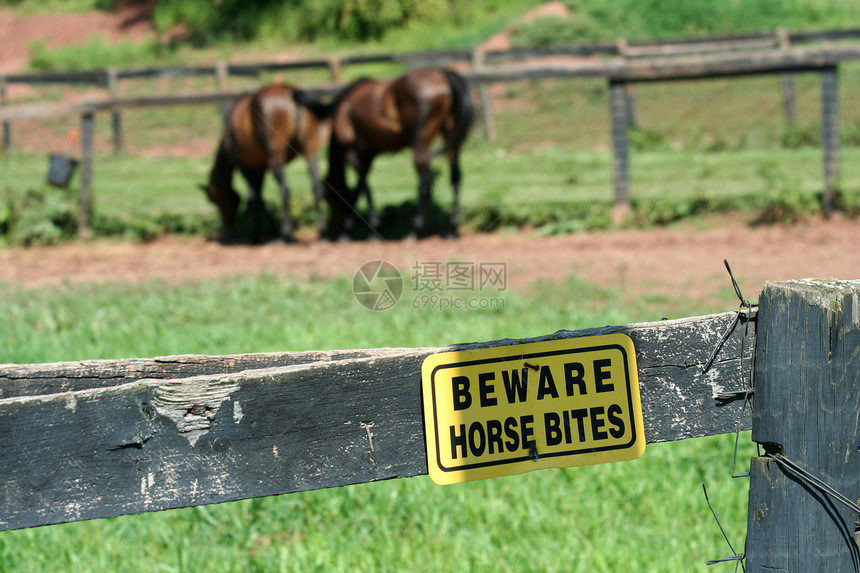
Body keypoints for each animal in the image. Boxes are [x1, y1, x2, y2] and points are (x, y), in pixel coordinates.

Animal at [203, 84, 330, 241]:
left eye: (216, 200)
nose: (227, 222)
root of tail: (290, 91)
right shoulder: (260, 168)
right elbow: (255, 197)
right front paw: (259, 231)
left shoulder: (246, 167)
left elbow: (257, 197)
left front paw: (264, 231)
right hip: (310, 151)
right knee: (316, 187)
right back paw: (322, 232)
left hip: (275, 157)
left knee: (284, 189)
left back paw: (285, 234)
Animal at [322, 67, 474, 239]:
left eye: (328, 198)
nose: (330, 231)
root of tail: (443, 74)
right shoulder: (369, 154)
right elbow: (360, 186)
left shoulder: (351, 151)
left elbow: (362, 185)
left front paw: (367, 228)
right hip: (449, 136)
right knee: (455, 175)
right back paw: (451, 226)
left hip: (420, 142)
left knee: (425, 181)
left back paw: (415, 229)